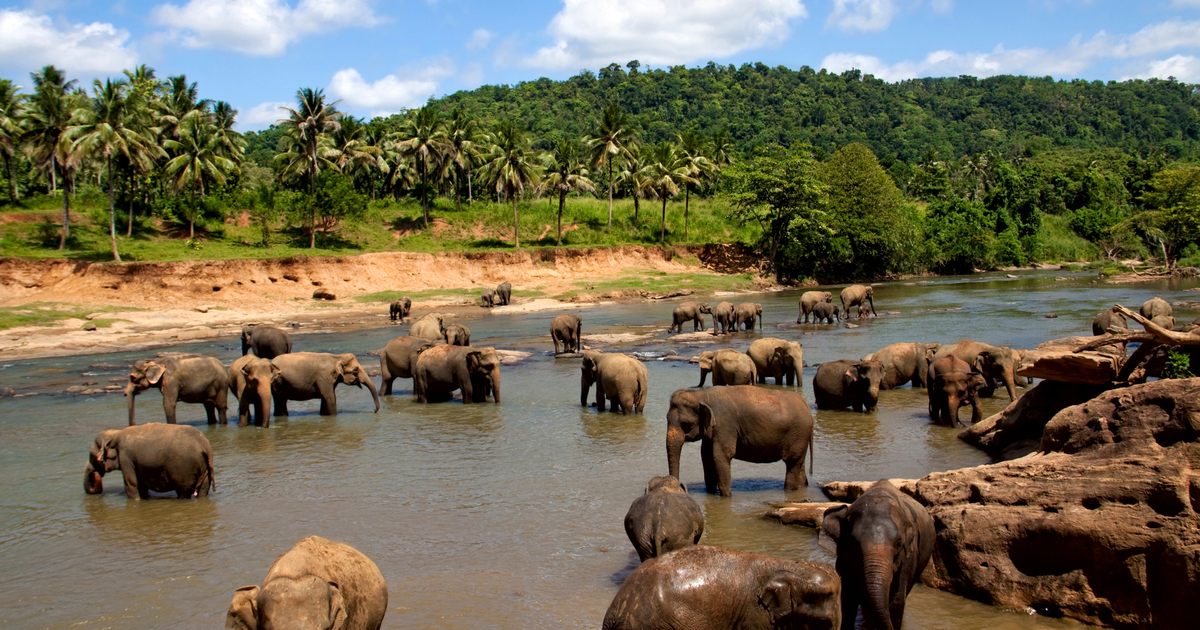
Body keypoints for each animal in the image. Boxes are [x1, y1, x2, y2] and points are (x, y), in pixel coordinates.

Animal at [83, 420, 214, 499]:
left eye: (91, 455)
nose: (95, 474)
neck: (116, 434)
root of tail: (203, 444)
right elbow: (141, 486)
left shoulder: (125, 457)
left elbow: (132, 484)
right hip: (205, 467)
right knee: (203, 490)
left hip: (184, 469)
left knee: (183, 492)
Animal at [667, 384, 816, 496]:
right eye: (667, 419)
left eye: (686, 425)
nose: (682, 487)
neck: (701, 395)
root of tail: (808, 409)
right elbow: (706, 456)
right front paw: (711, 493)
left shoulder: (725, 425)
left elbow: (720, 456)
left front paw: (726, 496)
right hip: (801, 437)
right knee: (799, 463)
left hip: (798, 432)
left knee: (791, 463)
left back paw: (789, 490)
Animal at [816, 477, 936, 628]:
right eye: (853, 542)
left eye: (898, 543)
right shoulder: (844, 557)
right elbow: (848, 600)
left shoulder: (908, 558)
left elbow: (897, 602)